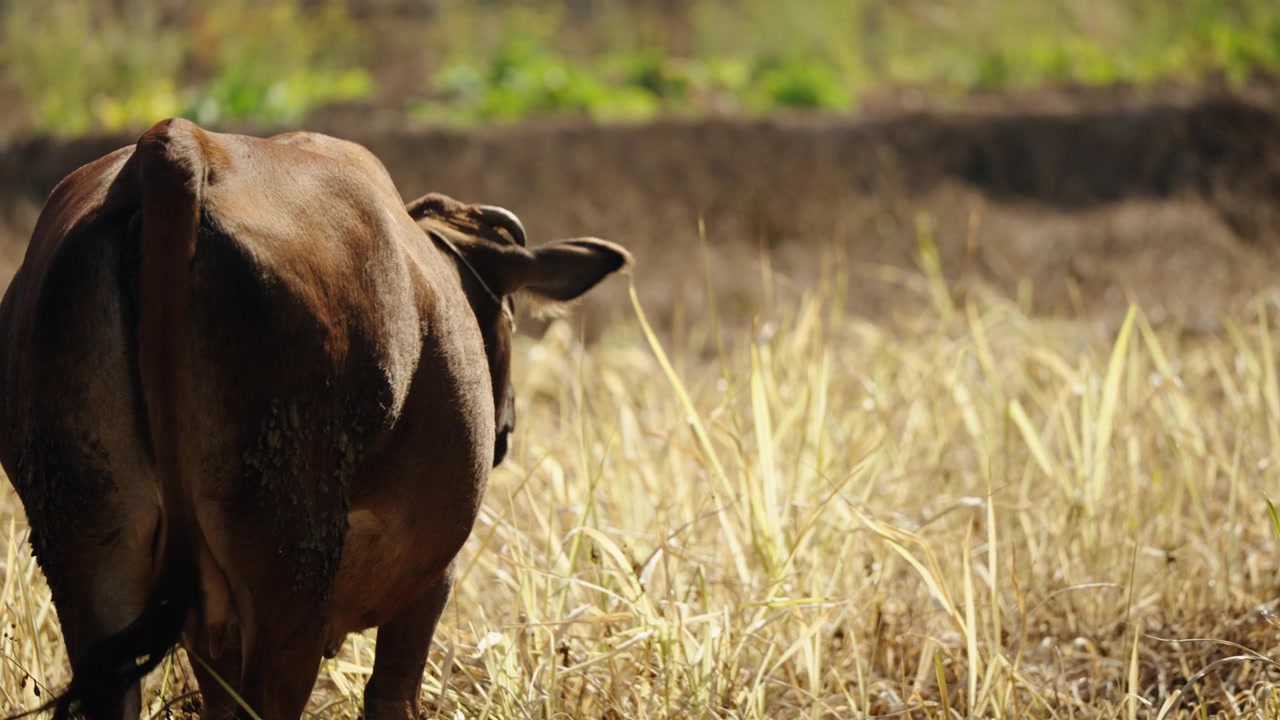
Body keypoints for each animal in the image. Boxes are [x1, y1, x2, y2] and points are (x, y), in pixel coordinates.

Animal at [0, 118, 631, 720]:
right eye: (509, 317)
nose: (506, 428)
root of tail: (182, 146)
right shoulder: (430, 581)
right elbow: (390, 699)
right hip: (291, 564)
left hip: (88, 547)